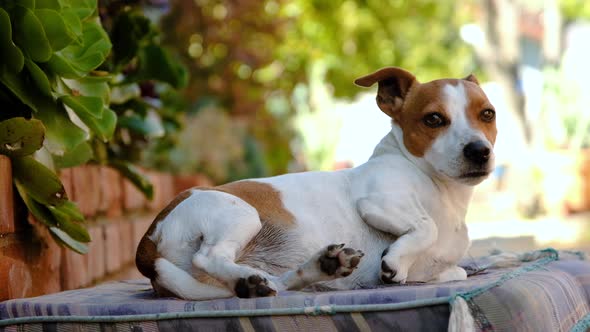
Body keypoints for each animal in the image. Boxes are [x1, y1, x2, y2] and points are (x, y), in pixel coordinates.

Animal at [136, 66, 498, 300]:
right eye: (433, 119)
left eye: (487, 114)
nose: (479, 151)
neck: (443, 192)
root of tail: (149, 238)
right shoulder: (378, 200)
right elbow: (426, 227)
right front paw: (395, 261)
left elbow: (456, 271)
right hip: (238, 214)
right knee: (209, 256)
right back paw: (250, 279)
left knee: (276, 283)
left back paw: (315, 269)